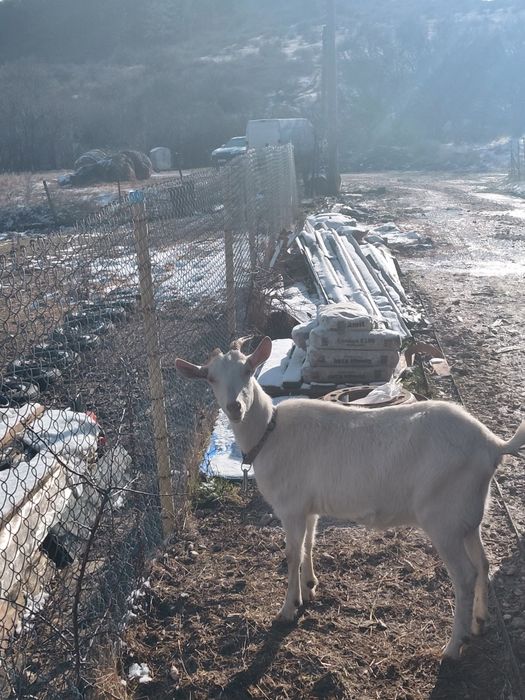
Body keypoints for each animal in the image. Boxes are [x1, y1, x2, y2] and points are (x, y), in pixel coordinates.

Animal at [176, 336, 525, 659]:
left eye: (248, 369)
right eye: (210, 377)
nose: (235, 407)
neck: (270, 432)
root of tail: (492, 444)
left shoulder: (290, 507)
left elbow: (291, 554)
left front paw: (288, 609)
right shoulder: (308, 508)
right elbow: (308, 545)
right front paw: (310, 587)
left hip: (443, 519)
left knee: (465, 576)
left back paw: (453, 647)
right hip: (469, 515)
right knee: (483, 562)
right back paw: (479, 623)